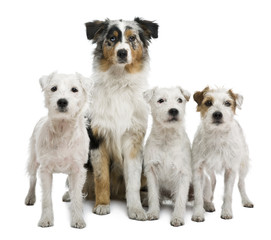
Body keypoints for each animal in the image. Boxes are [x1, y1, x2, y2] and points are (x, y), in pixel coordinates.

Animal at [24, 72, 90, 228]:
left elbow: (77, 195)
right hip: (33, 160)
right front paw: (46, 219)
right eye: (53, 88)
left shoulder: (77, 169)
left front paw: (78, 219)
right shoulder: (45, 170)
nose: (62, 102)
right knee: (32, 178)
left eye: (74, 89)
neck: (63, 128)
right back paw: (30, 197)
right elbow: (46, 198)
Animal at [82, 16, 159, 220]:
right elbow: (101, 178)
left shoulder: (133, 140)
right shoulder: (97, 139)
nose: (122, 52)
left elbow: (132, 182)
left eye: (132, 38)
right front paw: (102, 205)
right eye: (112, 38)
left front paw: (136, 209)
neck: (119, 81)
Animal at [143, 86, 192, 227]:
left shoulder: (183, 173)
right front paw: (153, 212)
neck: (167, 136)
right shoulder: (151, 171)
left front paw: (177, 217)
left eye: (180, 100)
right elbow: (153, 195)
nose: (174, 110)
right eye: (161, 100)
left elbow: (181, 198)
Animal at [191, 87, 255, 222]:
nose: (217, 114)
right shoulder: (198, 168)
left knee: (241, 183)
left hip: (243, 164)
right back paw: (209, 200)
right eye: (208, 103)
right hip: (209, 169)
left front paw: (226, 211)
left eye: (227, 103)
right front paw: (198, 213)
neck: (217, 134)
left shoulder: (231, 169)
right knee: (213, 181)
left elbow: (228, 194)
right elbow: (198, 194)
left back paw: (246, 200)